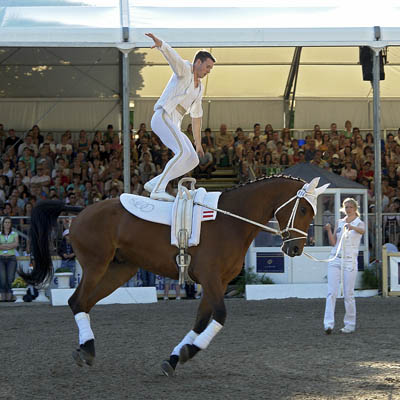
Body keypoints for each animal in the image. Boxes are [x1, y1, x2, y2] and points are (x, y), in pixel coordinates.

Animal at [20, 174, 328, 376]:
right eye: (302, 208)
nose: (296, 248)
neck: (231, 220)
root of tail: (82, 210)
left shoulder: (217, 282)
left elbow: (201, 321)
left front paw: (175, 357)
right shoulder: (211, 279)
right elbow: (220, 317)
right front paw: (190, 351)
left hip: (119, 270)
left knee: (83, 303)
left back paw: (87, 350)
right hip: (97, 265)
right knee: (76, 301)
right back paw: (86, 349)